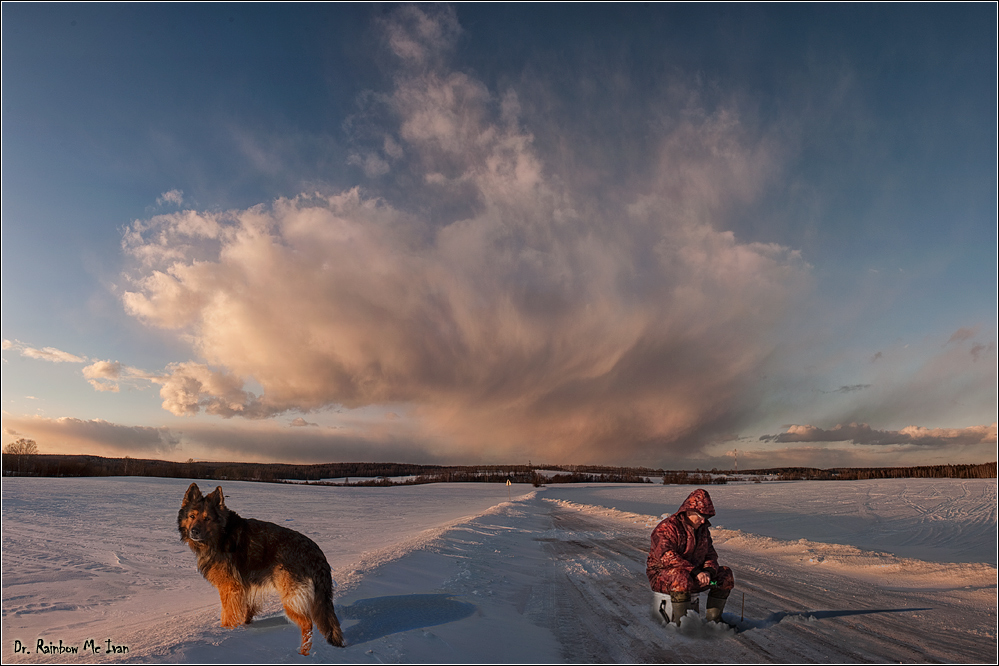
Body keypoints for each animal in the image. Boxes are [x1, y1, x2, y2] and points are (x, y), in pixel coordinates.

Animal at [180, 480, 348, 652]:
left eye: (207, 518)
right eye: (192, 516)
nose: (194, 531)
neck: (222, 533)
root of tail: (317, 554)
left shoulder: (230, 587)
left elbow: (228, 613)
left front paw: (226, 631)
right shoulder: (248, 587)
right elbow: (246, 609)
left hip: (290, 596)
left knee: (307, 624)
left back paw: (303, 652)